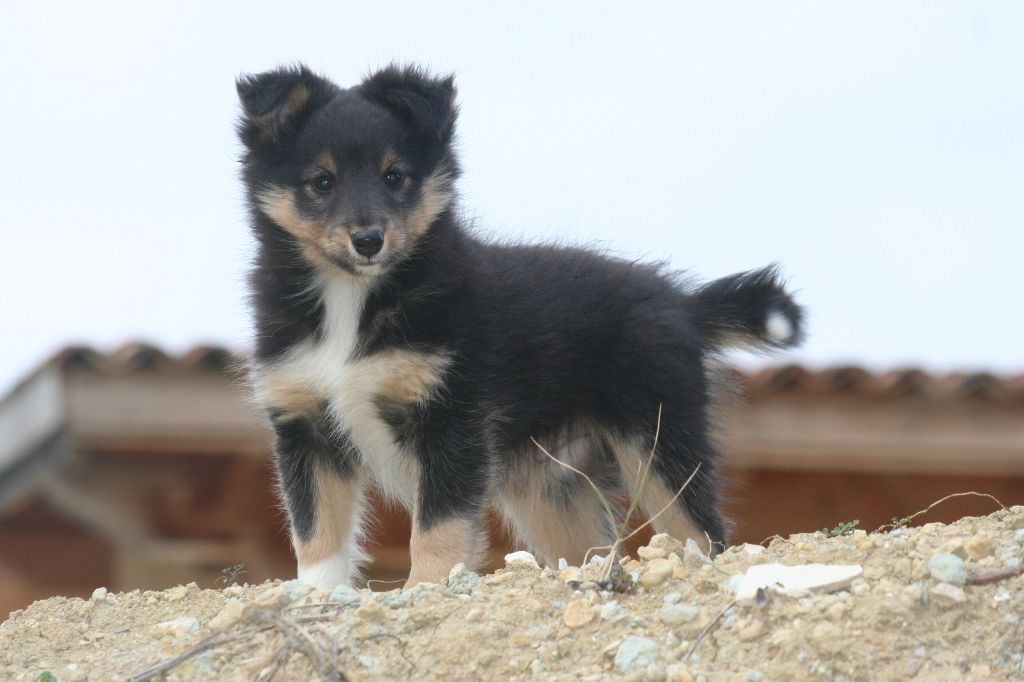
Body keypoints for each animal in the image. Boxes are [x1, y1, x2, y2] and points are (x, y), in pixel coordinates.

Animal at [235, 63, 802, 585]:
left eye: (394, 177)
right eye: (321, 182)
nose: (369, 240)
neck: (350, 299)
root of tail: (682, 303)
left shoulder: (451, 418)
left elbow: (437, 525)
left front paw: (425, 586)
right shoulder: (303, 422)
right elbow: (316, 531)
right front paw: (315, 594)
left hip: (660, 438)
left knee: (702, 531)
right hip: (551, 487)